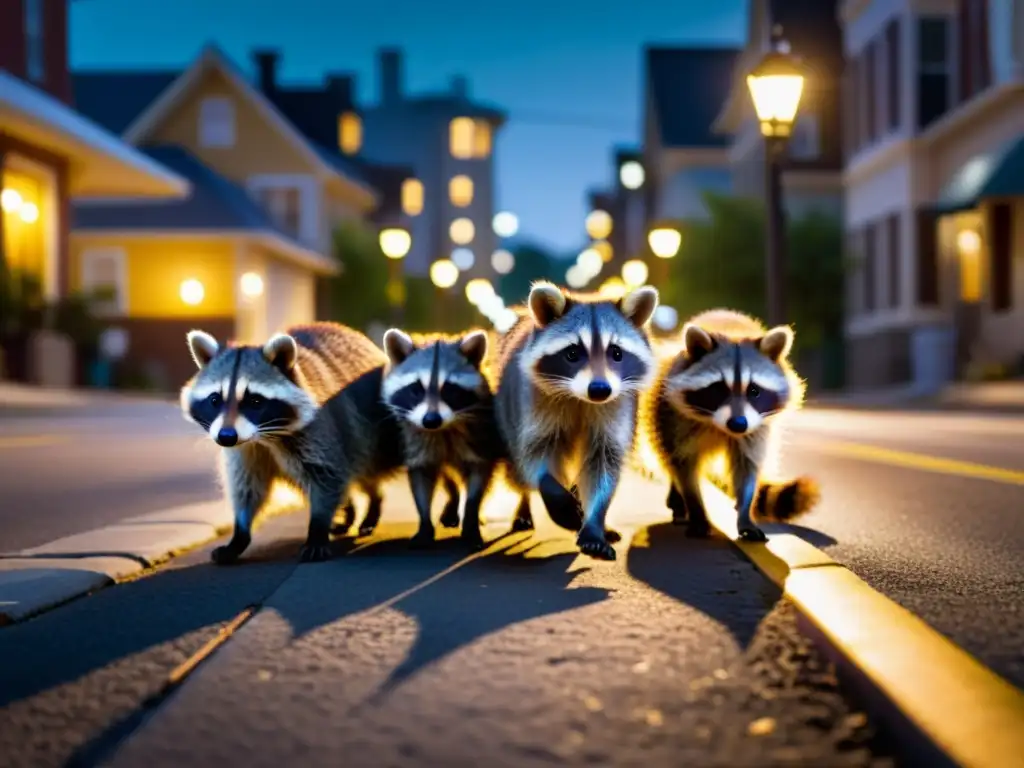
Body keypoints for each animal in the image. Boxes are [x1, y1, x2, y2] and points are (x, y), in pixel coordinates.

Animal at [180, 321, 403, 561]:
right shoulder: (245, 450)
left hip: (369, 435)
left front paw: (317, 529)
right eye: (214, 399)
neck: (263, 438)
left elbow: (326, 477)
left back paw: (373, 502)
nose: (226, 436)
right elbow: (246, 487)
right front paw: (240, 534)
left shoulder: (319, 430)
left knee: (365, 470)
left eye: (255, 401)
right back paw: (350, 510)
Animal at [380, 327, 503, 548]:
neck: (442, 430)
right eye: (416, 389)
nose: (431, 420)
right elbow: (421, 481)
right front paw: (424, 524)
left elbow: (478, 480)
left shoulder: (480, 438)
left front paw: (471, 521)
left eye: (449, 389)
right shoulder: (418, 442)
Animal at [493, 280, 655, 561]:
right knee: (517, 474)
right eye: (571, 353)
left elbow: (604, 465)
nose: (600, 389)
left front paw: (594, 524)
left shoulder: (618, 407)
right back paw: (525, 506)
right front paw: (557, 498)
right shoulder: (530, 408)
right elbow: (535, 458)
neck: (581, 399)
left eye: (616, 353)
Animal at [643, 309, 819, 544]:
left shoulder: (756, 429)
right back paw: (678, 500)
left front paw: (744, 514)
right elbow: (684, 468)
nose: (737, 423)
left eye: (754, 390)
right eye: (718, 389)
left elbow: (747, 469)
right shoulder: (672, 419)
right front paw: (696, 511)